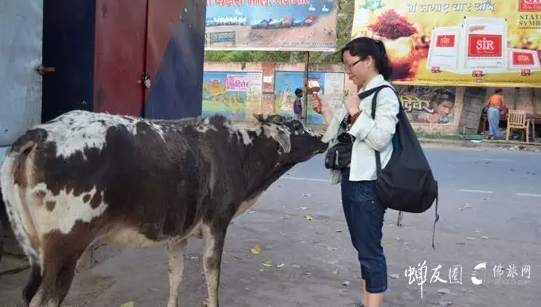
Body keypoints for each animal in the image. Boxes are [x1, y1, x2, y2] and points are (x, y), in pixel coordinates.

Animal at [0, 110, 324, 307]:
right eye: (296, 126)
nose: (322, 139)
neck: (238, 150)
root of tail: (41, 133)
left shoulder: (178, 233)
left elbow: (175, 275)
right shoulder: (216, 223)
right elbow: (212, 275)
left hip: (40, 246)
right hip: (65, 245)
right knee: (44, 299)